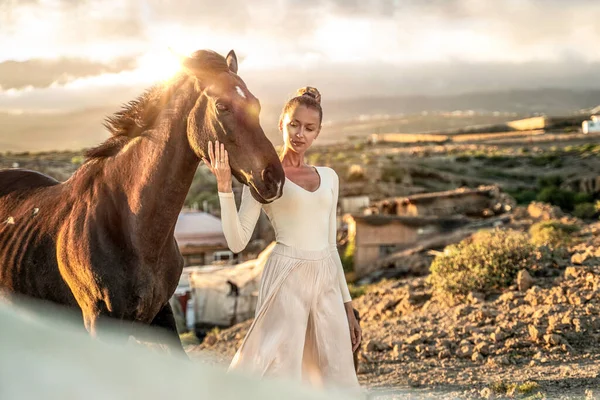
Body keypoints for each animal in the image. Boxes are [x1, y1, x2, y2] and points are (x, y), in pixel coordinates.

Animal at [0, 49, 284, 354]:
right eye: (222, 106)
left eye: (255, 104)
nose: (274, 178)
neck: (132, 229)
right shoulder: (100, 324)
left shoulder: (160, 313)